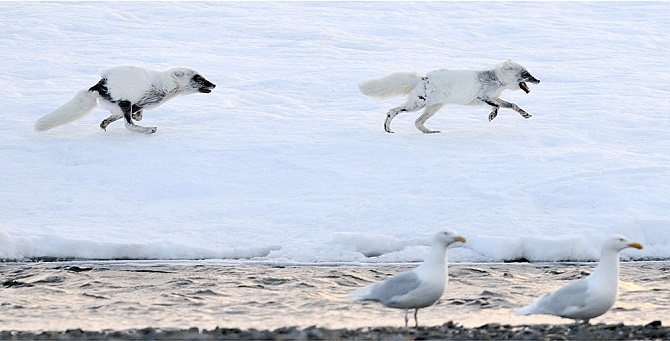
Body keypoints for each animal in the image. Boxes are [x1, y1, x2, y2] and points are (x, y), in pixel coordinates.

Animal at [356, 60, 540, 132]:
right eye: (526, 74)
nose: (538, 80)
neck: (497, 80)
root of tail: (423, 78)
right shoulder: (482, 97)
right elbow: (498, 106)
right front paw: (492, 115)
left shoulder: (494, 97)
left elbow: (512, 105)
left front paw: (525, 114)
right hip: (417, 105)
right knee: (392, 111)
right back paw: (387, 128)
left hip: (433, 108)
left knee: (417, 122)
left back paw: (430, 132)